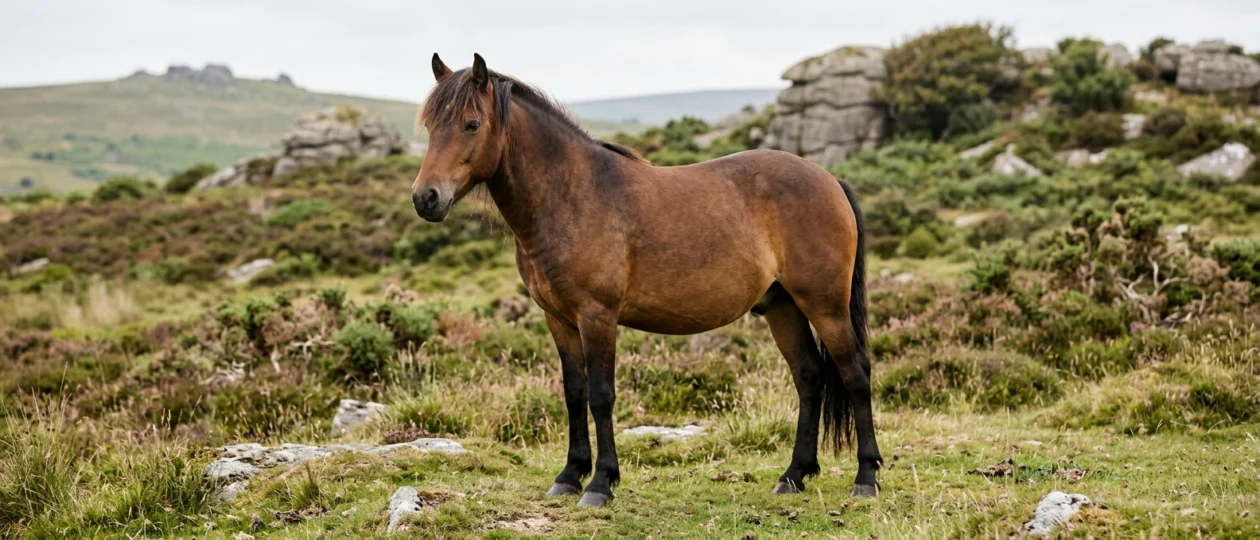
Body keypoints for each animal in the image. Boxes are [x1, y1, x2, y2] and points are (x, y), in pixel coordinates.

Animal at [411, 53, 882, 507]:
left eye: (471, 124)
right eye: (431, 126)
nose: (425, 198)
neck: (571, 195)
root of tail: (830, 180)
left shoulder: (597, 316)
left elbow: (601, 395)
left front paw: (600, 483)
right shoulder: (559, 320)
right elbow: (573, 392)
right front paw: (569, 476)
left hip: (824, 304)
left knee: (855, 372)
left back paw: (866, 477)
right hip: (782, 307)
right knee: (809, 377)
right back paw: (793, 476)